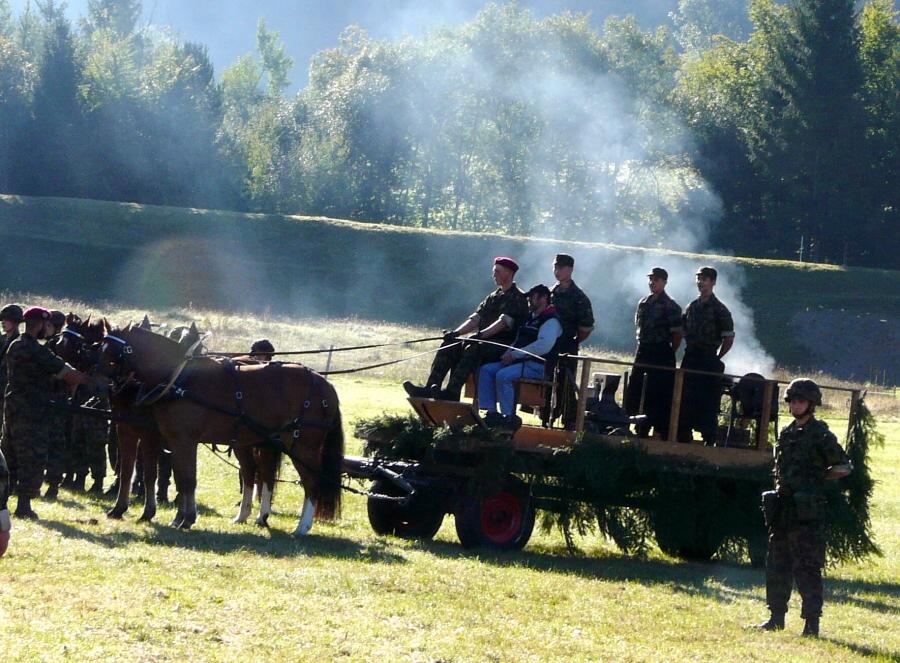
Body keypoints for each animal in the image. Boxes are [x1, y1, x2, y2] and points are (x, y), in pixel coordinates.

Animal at [98, 323, 344, 533]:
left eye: (113, 353)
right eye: (101, 347)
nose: (101, 384)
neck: (180, 378)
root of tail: (325, 385)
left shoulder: (182, 440)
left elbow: (187, 479)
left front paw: (187, 519)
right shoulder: (171, 439)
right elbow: (179, 478)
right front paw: (178, 517)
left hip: (302, 445)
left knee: (310, 482)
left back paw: (302, 526)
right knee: (257, 474)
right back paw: (253, 516)